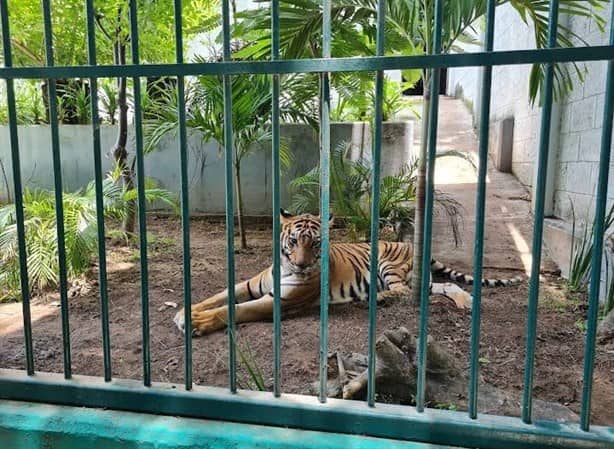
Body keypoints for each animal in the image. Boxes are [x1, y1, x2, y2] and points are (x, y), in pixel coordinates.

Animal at [174, 208, 524, 334]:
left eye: (316, 244)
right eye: (294, 241)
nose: (301, 264)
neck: (285, 266)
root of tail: (415, 247)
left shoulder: (281, 302)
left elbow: (235, 310)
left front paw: (196, 323)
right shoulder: (250, 284)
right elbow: (220, 295)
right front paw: (185, 311)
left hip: (388, 264)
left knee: (399, 290)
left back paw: (377, 298)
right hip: (419, 281)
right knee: (445, 287)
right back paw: (466, 302)